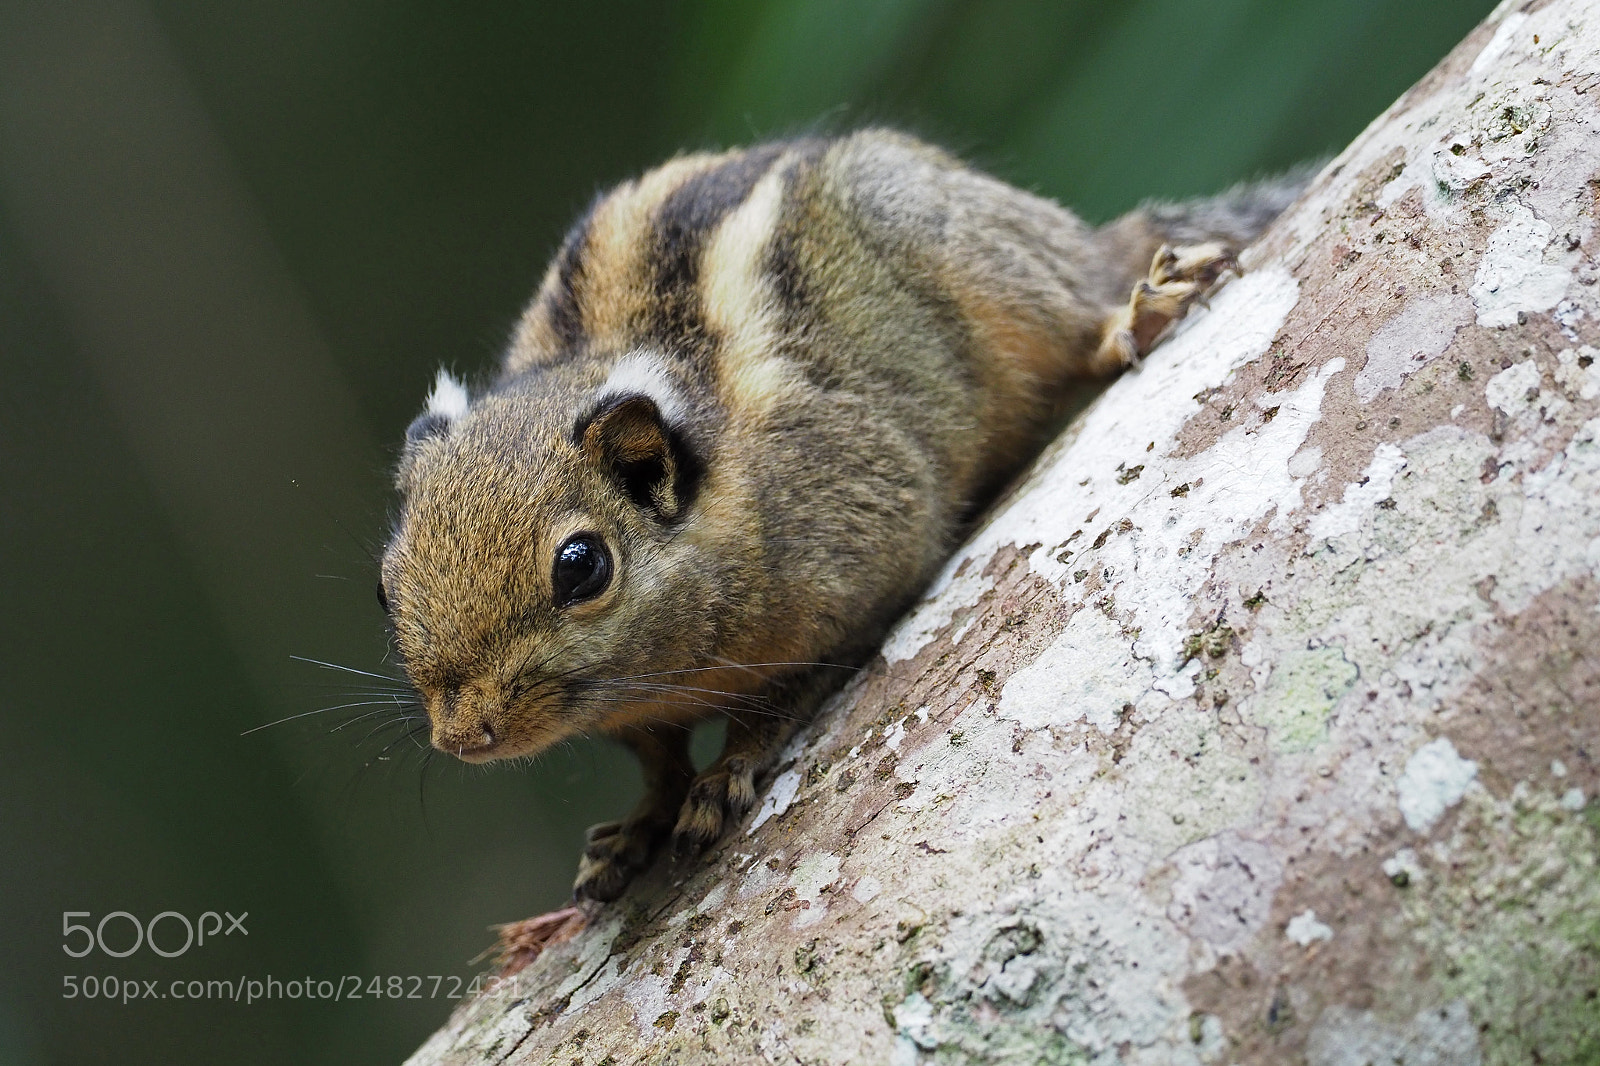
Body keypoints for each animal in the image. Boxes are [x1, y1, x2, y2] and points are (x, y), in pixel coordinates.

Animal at [378, 130, 1305, 902]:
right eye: (383, 588)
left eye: (582, 566)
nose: (464, 736)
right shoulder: (640, 717)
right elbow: (656, 761)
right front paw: (641, 821)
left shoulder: (859, 549)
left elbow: (787, 692)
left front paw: (728, 770)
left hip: (986, 266)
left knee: (1076, 307)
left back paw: (1124, 315)